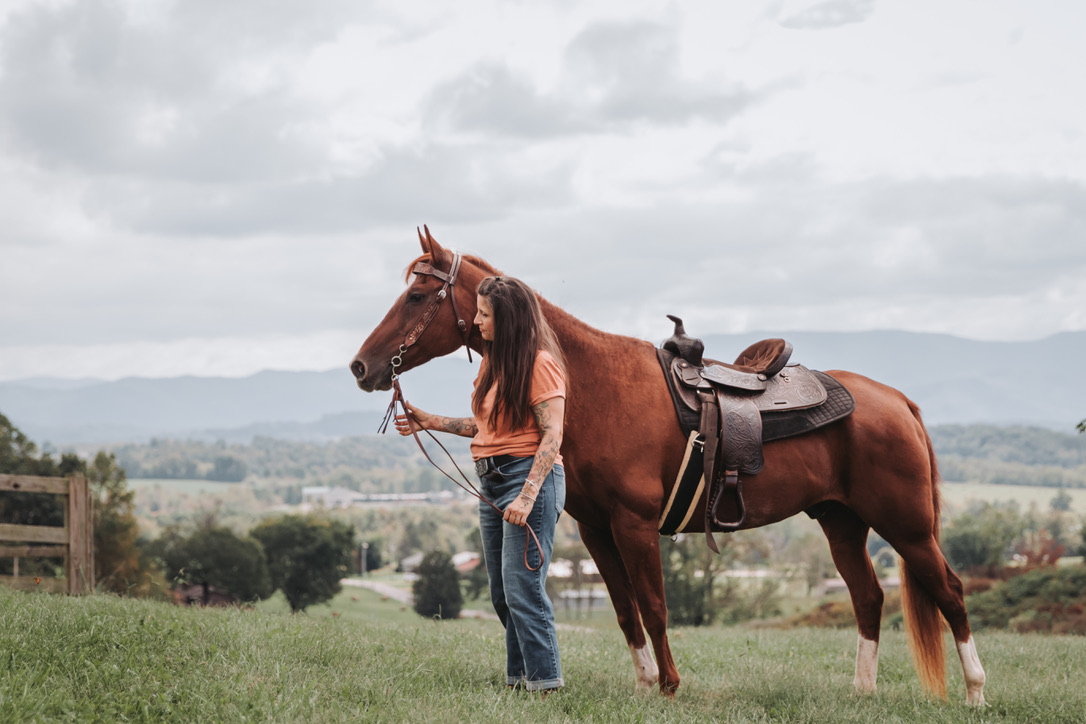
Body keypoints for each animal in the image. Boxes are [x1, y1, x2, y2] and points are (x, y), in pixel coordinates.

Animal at [349, 228, 987, 706]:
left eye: (416, 297)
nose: (361, 366)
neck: (594, 385)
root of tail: (897, 401)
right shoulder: (596, 530)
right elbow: (625, 611)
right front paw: (643, 684)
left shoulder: (634, 525)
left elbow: (653, 607)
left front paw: (670, 686)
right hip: (842, 522)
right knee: (869, 598)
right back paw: (863, 691)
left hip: (907, 526)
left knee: (952, 593)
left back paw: (976, 692)